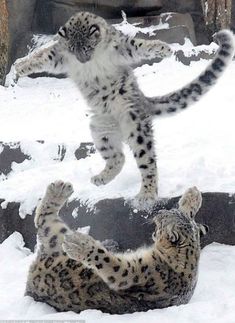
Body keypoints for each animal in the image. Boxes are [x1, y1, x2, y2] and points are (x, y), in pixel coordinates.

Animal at [13, 11, 235, 209]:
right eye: (72, 48)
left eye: (87, 46)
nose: (82, 59)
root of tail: (142, 101)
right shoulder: (59, 55)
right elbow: (42, 56)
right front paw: (21, 66)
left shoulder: (120, 46)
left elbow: (139, 45)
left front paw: (163, 48)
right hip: (100, 129)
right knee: (118, 157)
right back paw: (100, 178)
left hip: (135, 124)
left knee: (147, 161)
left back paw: (146, 195)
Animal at [24, 180, 207, 314]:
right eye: (169, 212)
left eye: (163, 219)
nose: (158, 213)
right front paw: (192, 196)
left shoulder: (135, 273)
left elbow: (107, 261)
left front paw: (82, 246)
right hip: (55, 239)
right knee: (42, 220)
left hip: (56, 239)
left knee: (43, 221)